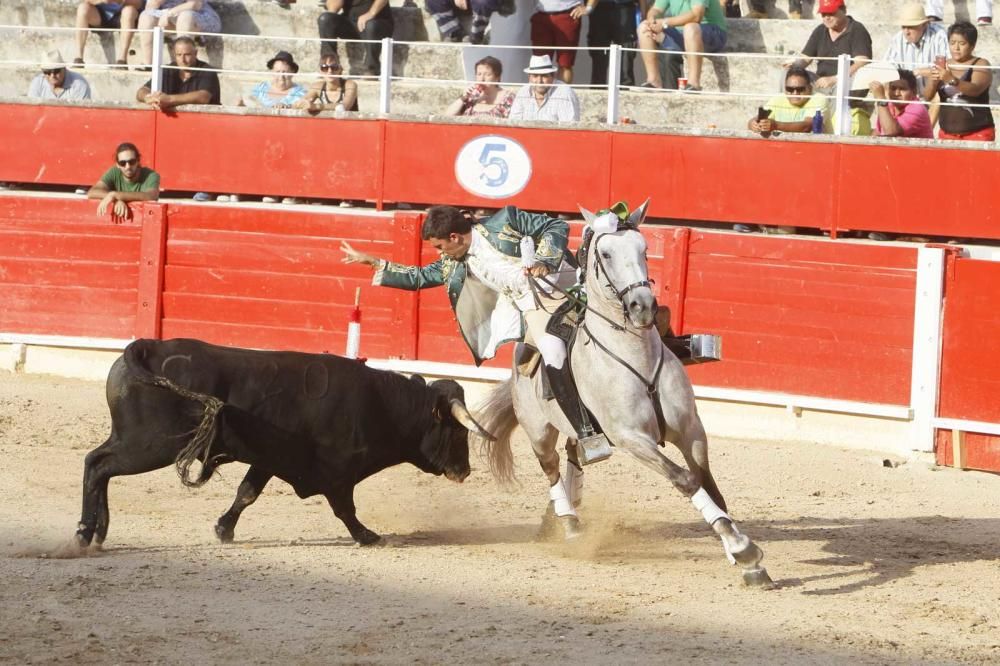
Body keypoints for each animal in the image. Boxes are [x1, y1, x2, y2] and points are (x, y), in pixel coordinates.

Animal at [76, 338, 490, 544]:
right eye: (458, 430)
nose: (465, 471)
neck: (381, 404)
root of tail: (147, 347)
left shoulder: (269, 459)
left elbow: (246, 493)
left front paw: (224, 530)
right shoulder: (337, 473)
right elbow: (345, 509)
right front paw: (368, 536)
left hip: (132, 439)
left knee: (99, 465)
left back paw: (99, 532)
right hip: (152, 444)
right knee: (98, 465)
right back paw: (84, 533)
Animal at [474, 200, 772, 584]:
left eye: (644, 249)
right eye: (605, 253)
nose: (642, 306)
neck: (637, 358)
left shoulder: (691, 430)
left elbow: (711, 486)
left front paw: (742, 556)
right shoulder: (631, 438)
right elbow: (686, 479)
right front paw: (743, 550)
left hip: (579, 429)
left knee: (575, 455)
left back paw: (555, 515)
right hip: (538, 430)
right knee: (551, 467)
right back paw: (570, 525)